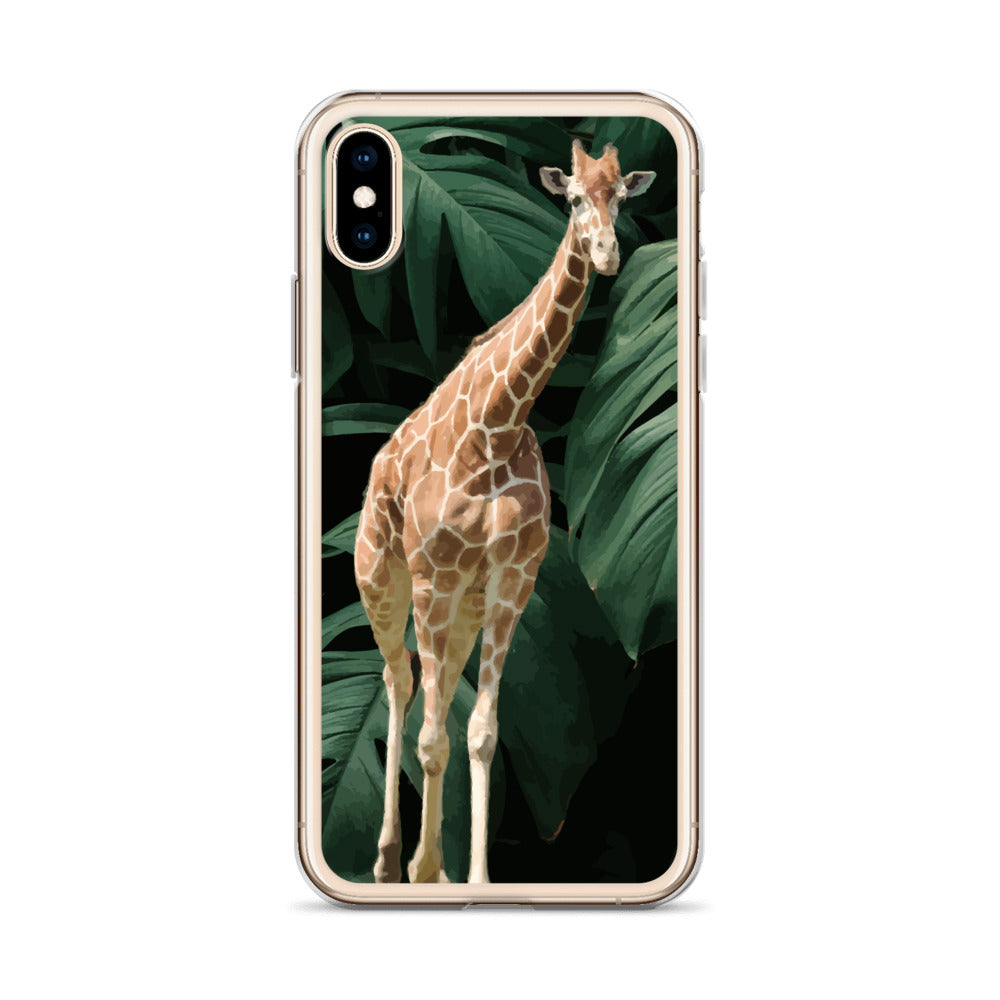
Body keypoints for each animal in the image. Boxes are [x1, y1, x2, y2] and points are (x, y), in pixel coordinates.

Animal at [354, 139, 655, 884]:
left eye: (621, 197)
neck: (496, 424)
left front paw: (469, 878)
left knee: (427, 690)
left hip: (462, 602)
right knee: (397, 680)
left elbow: (482, 732)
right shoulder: (431, 577)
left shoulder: (513, 582)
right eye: (571, 198)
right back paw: (388, 862)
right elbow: (433, 738)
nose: (607, 253)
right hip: (381, 576)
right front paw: (426, 870)